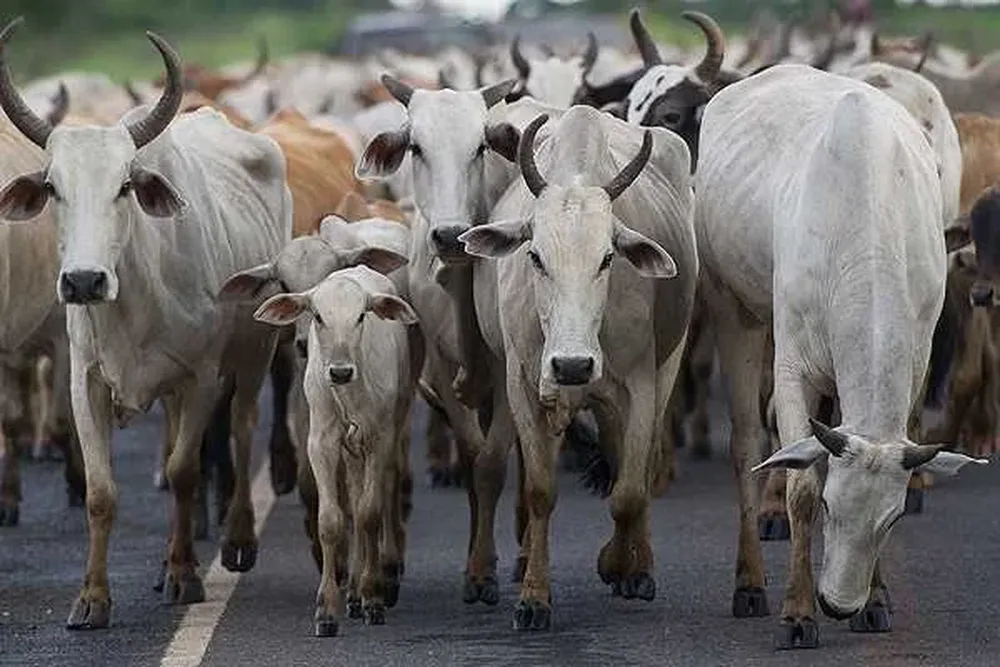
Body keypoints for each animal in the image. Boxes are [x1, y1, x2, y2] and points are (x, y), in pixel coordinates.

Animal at [0, 20, 292, 628]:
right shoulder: (84, 379)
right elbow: (100, 491)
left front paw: (185, 576)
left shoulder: (201, 376)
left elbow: (183, 472)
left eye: (125, 186)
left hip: (255, 353)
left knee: (242, 426)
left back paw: (236, 539)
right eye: (53, 188)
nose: (83, 281)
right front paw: (92, 598)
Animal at [254, 264, 420, 636]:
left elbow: (369, 514)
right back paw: (353, 594)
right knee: (352, 505)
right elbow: (331, 520)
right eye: (318, 315)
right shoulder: (322, 443)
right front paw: (327, 610)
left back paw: (368, 588)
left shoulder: (379, 440)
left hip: (393, 427)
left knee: (373, 502)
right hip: (349, 453)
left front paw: (373, 598)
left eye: (360, 316)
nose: (340, 371)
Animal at [459, 105, 696, 630]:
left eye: (607, 258)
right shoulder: (524, 384)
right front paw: (533, 598)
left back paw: (637, 566)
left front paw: (618, 564)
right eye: (535, 256)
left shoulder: (640, 384)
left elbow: (628, 491)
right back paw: (483, 573)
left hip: (665, 366)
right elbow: (539, 490)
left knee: (638, 463)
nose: (571, 365)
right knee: (491, 465)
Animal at [694, 64, 985, 649]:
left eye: (892, 521)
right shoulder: (793, 368)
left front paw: (876, 601)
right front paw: (798, 613)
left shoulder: (916, 363)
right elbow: (801, 480)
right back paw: (750, 583)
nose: (837, 603)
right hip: (732, 309)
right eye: (830, 507)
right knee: (747, 443)